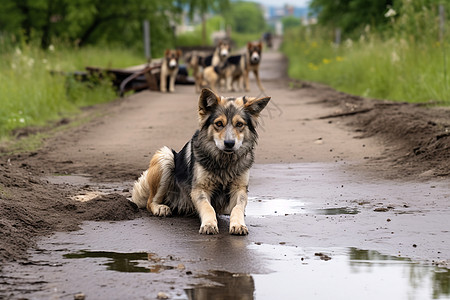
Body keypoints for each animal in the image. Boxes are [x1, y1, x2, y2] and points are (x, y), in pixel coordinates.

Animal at [130, 88, 270, 236]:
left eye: (239, 124)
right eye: (219, 124)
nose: (229, 143)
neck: (224, 161)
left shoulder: (240, 189)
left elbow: (237, 208)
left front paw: (238, 224)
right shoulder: (199, 189)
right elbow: (208, 207)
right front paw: (209, 224)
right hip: (166, 156)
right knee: (150, 202)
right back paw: (160, 208)